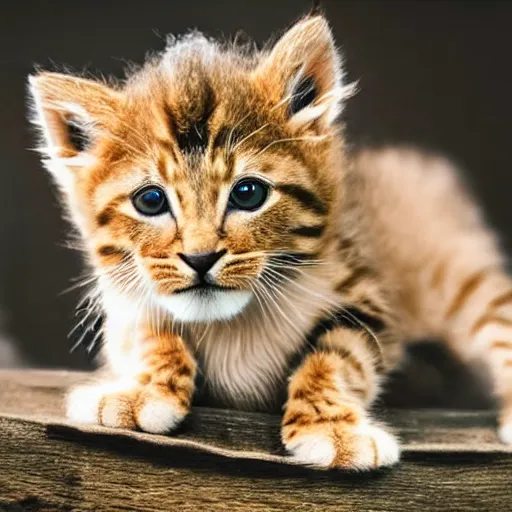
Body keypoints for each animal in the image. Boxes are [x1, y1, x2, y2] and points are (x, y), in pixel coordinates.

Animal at [27, 13, 512, 468]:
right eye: (150, 200)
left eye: (248, 193)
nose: (200, 258)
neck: (234, 325)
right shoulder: (125, 299)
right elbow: (149, 332)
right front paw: (141, 390)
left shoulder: (367, 295)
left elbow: (338, 355)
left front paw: (330, 428)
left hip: (458, 271)